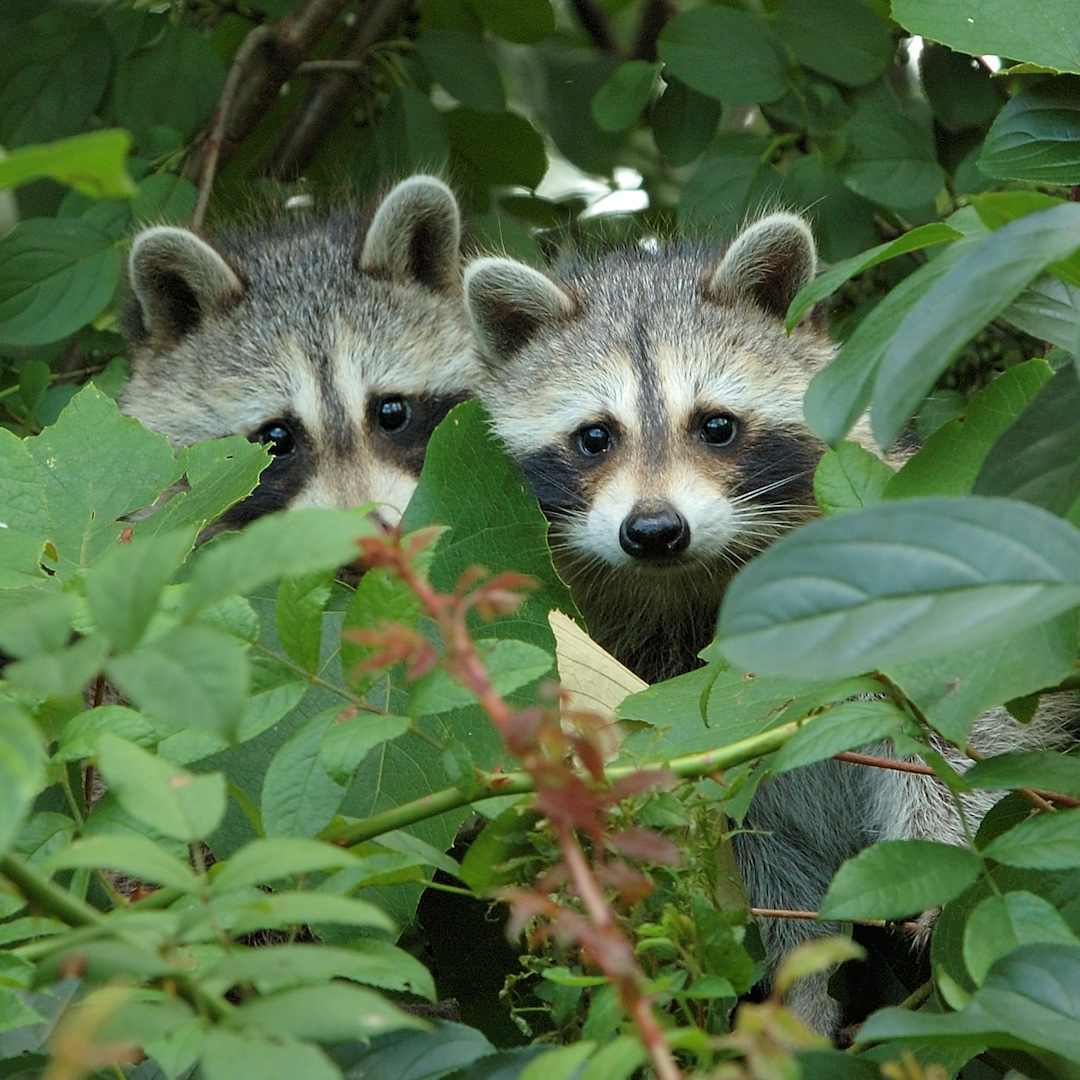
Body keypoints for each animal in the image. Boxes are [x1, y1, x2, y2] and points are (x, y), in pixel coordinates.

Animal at [463, 215, 1077, 1034]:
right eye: (594, 437)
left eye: (716, 426)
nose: (654, 530)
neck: (695, 585)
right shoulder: (658, 692)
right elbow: (751, 847)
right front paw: (802, 983)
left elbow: (949, 733)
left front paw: (938, 852)